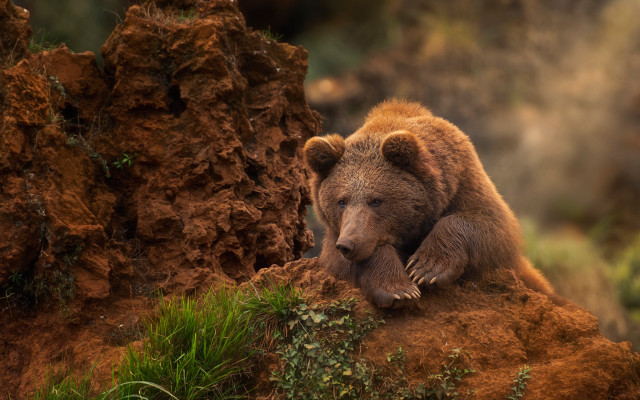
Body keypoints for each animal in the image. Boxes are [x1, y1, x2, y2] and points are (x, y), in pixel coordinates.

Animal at [303, 99, 554, 308]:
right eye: (341, 201)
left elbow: (495, 227)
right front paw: (399, 289)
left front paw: (426, 268)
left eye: (376, 200)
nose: (348, 244)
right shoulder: (335, 235)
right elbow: (339, 262)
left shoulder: (464, 180)